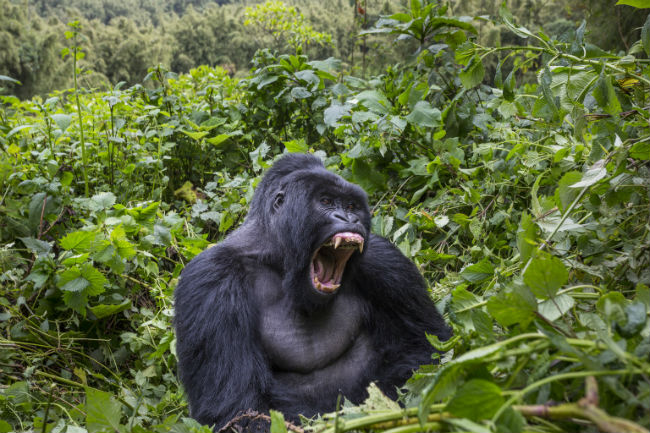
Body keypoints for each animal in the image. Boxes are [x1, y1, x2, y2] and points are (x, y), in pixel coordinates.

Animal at [173, 154, 450, 426]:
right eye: (325, 201)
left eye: (351, 206)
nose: (349, 219)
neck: (276, 254)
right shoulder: (211, 279)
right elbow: (238, 408)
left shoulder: (385, 262)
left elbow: (425, 351)